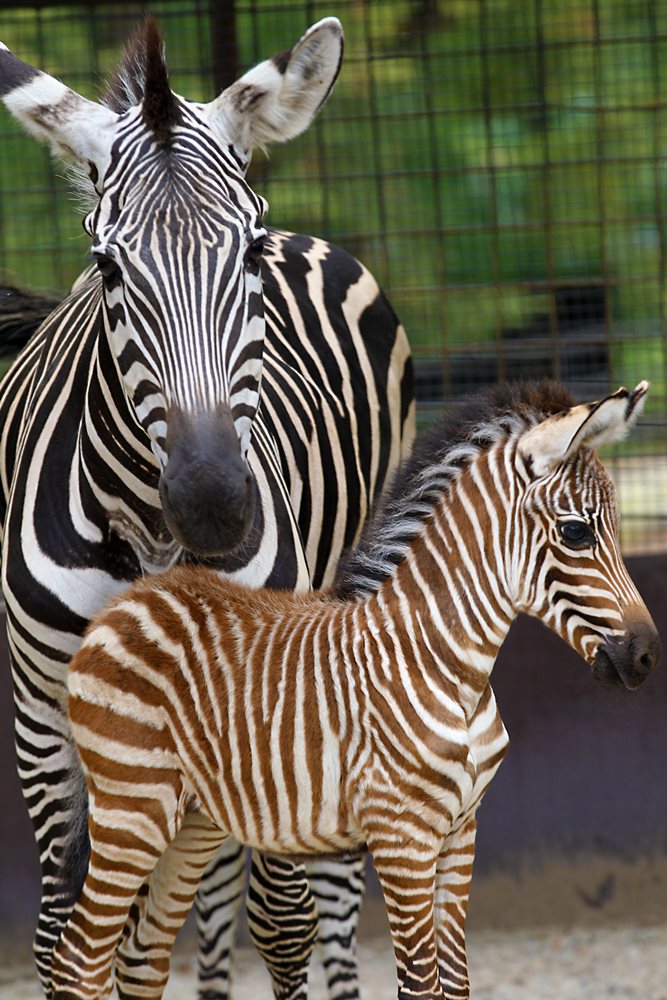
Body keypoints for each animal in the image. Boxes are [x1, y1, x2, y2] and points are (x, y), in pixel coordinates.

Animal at [0, 17, 412, 1000]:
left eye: (250, 254)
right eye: (105, 267)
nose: (216, 505)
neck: (151, 536)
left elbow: (282, 921)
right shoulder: (44, 716)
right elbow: (69, 938)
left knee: (319, 888)